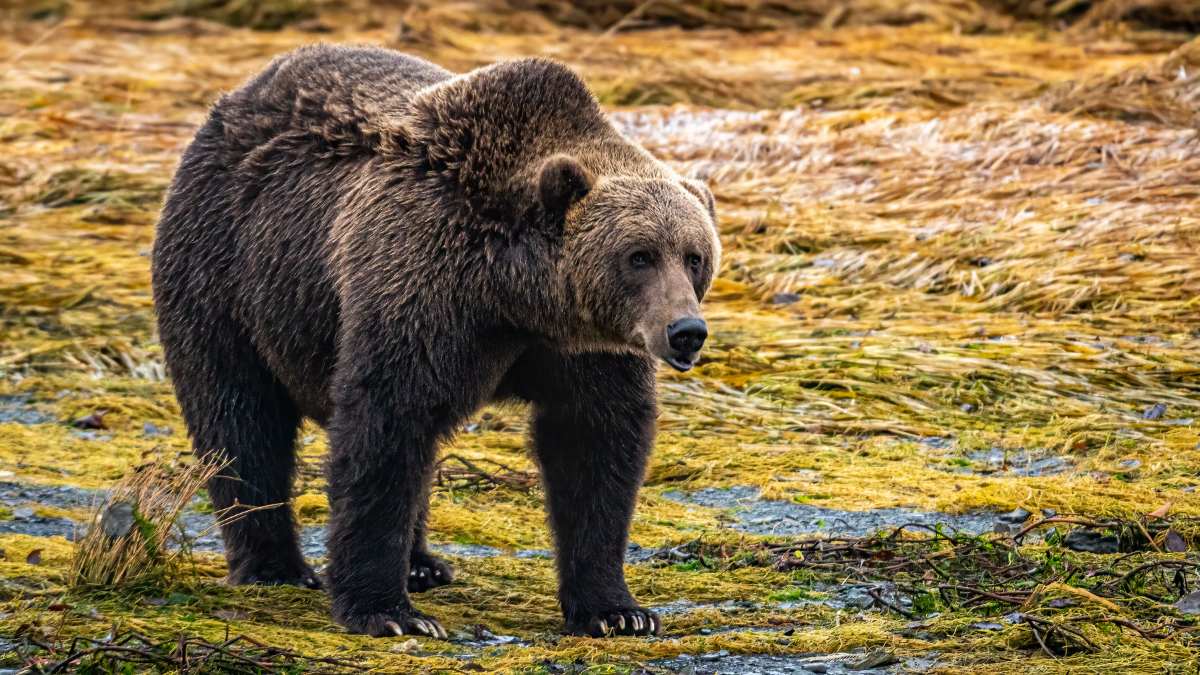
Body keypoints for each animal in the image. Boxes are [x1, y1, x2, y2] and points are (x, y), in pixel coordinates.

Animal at [151, 44, 719, 639]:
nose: (686, 331)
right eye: (639, 255)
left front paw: (617, 611)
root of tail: (232, 102)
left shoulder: (584, 350)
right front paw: (388, 612)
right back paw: (275, 566)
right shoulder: (421, 284)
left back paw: (422, 564)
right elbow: (386, 424)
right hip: (229, 274)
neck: (517, 296)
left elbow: (595, 445)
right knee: (241, 416)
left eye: (694, 256)